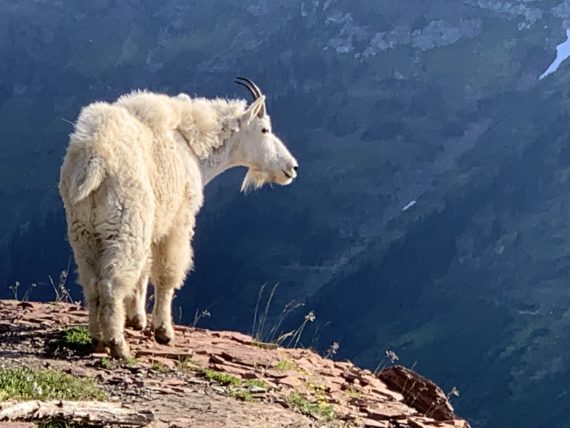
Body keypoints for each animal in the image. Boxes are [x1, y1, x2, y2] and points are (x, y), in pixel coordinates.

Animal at [58, 77, 298, 358]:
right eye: (264, 129)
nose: (292, 168)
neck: (193, 149)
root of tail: (94, 160)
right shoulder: (177, 223)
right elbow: (167, 273)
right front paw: (163, 331)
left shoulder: (153, 224)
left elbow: (144, 271)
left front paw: (137, 320)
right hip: (125, 225)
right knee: (110, 284)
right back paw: (118, 345)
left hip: (83, 231)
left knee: (91, 283)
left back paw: (97, 340)